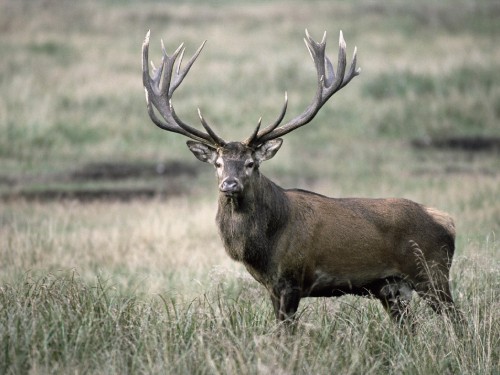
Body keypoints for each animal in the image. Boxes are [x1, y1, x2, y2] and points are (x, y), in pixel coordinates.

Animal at [141, 30, 460, 328]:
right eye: (218, 164)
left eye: (251, 163)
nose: (229, 184)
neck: (264, 246)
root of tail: (446, 220)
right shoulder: (271, 286)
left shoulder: (292, 279)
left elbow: (287, 334)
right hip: (391, 288)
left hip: (431, 272)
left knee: (458, 321)